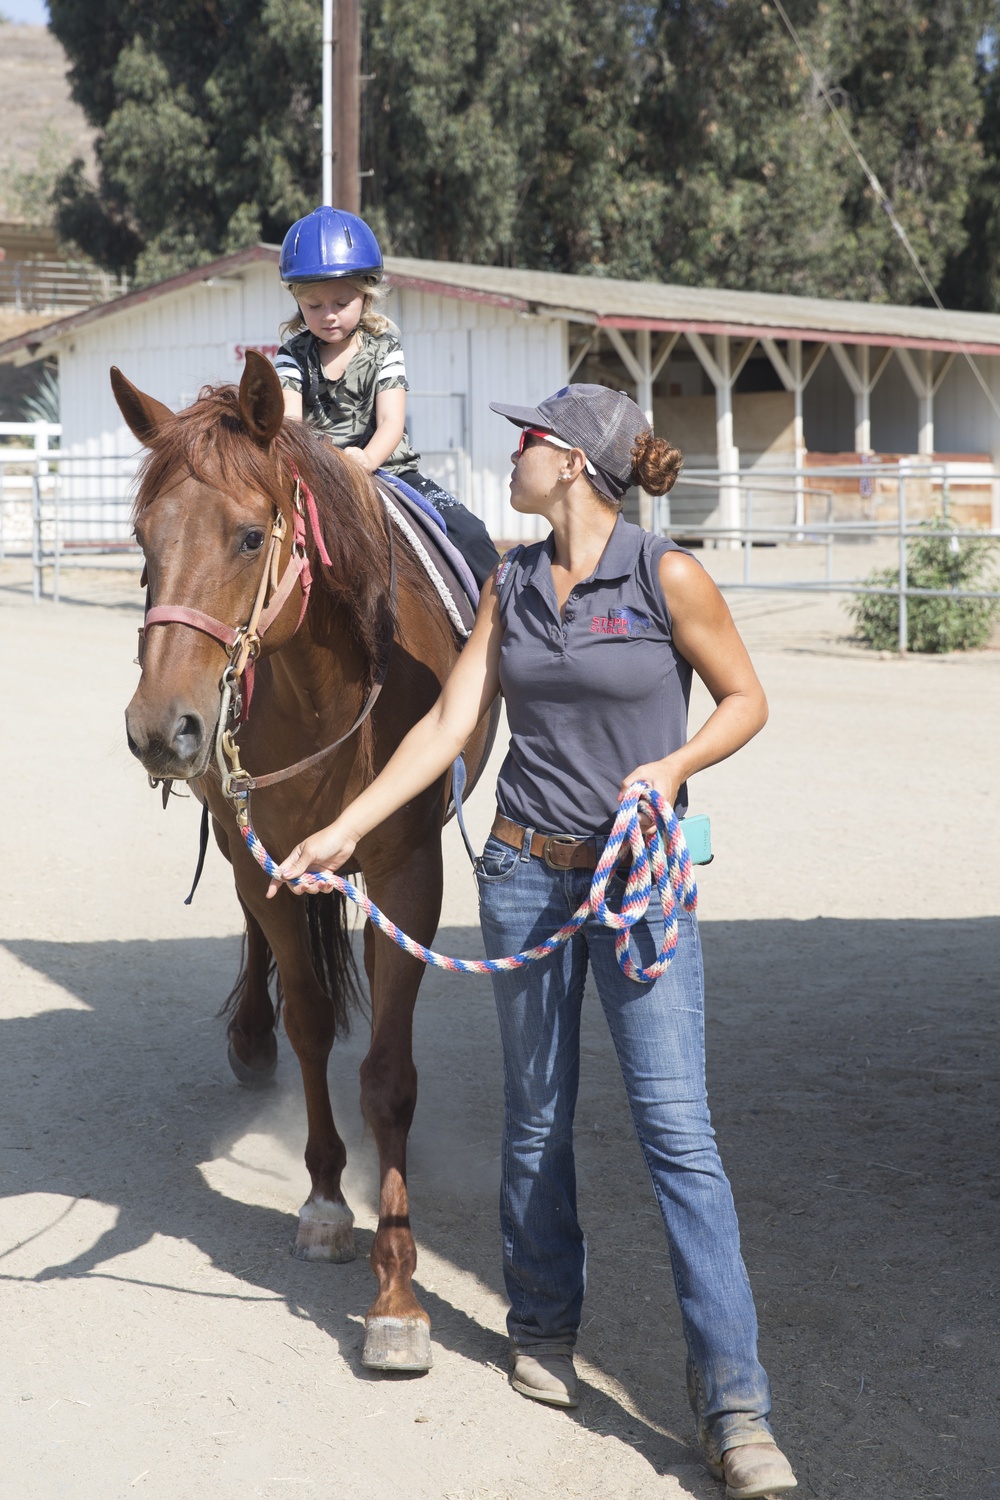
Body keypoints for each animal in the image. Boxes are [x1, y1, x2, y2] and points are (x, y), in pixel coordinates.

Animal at [113, 348, 497, 1374]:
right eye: (142, 541)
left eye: (251, 537)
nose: (160, 728)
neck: (329, 684)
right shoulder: (270, 860)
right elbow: (315, 1025)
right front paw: (327, 1202)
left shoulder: (409, 873)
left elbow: (388, 1076)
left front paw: (399, 1296)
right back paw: (249, 1035)